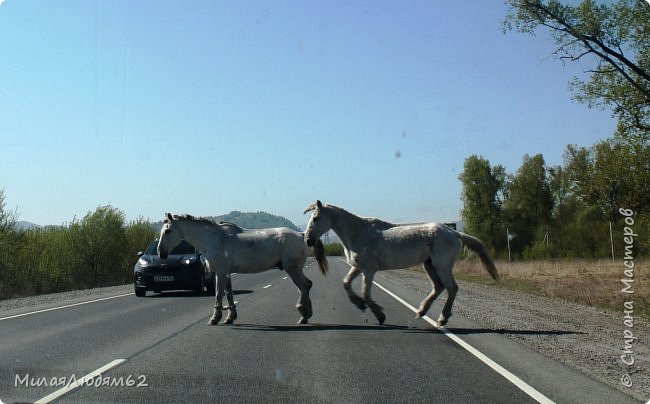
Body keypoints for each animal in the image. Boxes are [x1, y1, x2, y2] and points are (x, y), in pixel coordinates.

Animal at [302, 200, 496, 326]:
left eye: (316, 218)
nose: (308, 240)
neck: (359, 233)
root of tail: (455, 234)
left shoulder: (369, 270)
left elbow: (365, 292)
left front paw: (379, 315)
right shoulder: (358, 267)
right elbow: (346, 283)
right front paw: (359, 304)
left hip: (442, 266)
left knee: (452, 288)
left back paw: (442, 318)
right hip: (429, 265)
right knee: (439, 287)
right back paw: (421, 311)